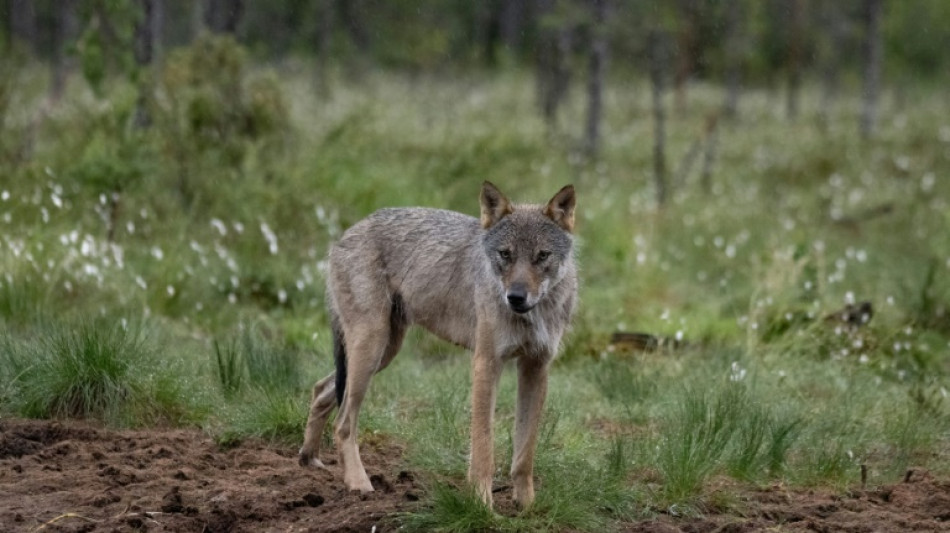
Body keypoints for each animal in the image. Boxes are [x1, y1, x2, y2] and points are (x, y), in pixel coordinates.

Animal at [298, 181, 577, 509]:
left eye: (542, 256)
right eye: (505, 254)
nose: (516, 297)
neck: (534, 316)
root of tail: (345, 234)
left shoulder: (536, 367)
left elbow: (524, 453)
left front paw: (527, 508)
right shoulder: (486, 363)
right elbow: (483, 448)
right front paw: (482, 506)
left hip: (382, 353)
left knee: (321, 389)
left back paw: (309, 459)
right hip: (370, 348)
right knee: (343, 423)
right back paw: (358, 484)